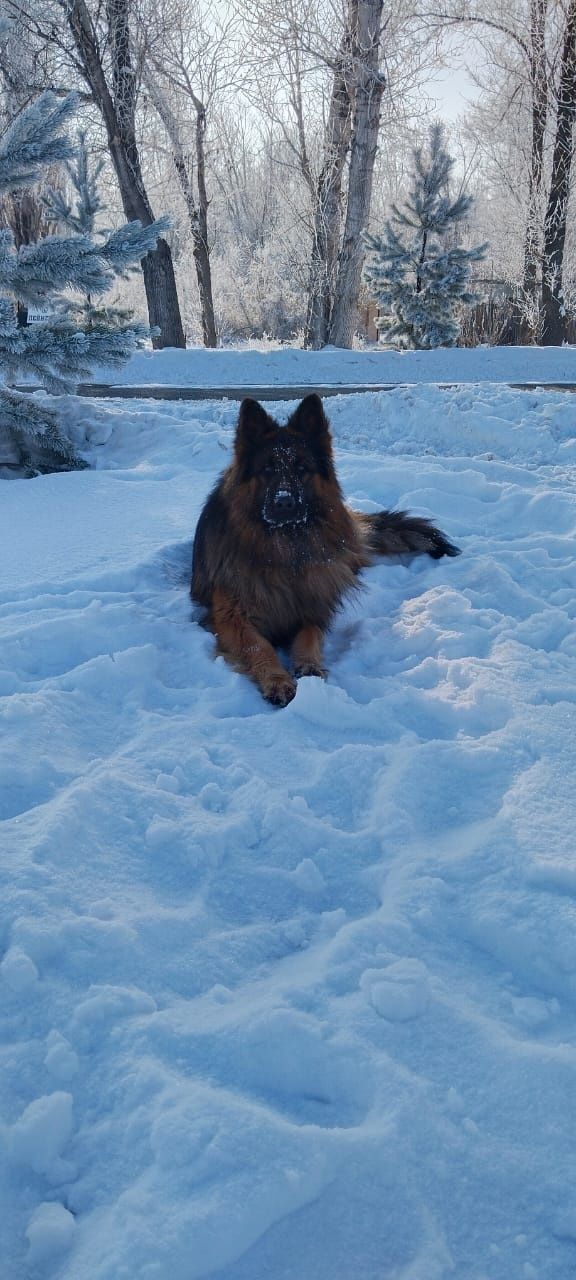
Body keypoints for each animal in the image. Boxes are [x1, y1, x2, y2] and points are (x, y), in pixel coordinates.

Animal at [190, 394, 460, 706]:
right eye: (267, 470)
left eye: (302, 469)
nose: (285, 503)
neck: (285, 551)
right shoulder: (231, 617)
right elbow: (259, 646)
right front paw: (277, 679)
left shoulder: (315, 604)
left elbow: (309, 634)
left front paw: (309, 664)